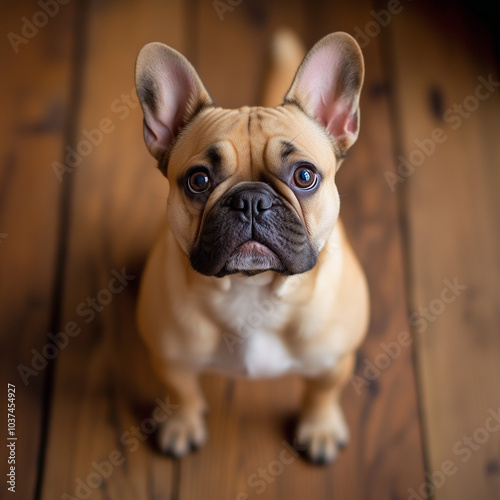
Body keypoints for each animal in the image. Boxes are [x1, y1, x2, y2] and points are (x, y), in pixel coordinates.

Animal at [135, 32, 370, 464]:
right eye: (198, 180)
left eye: (305, 176)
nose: (250, 200)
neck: (252, 289)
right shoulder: (171, 360)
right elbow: (183, 392)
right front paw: (183, 424)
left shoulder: (334, 362)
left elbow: (322, 393)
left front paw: (320, 427)